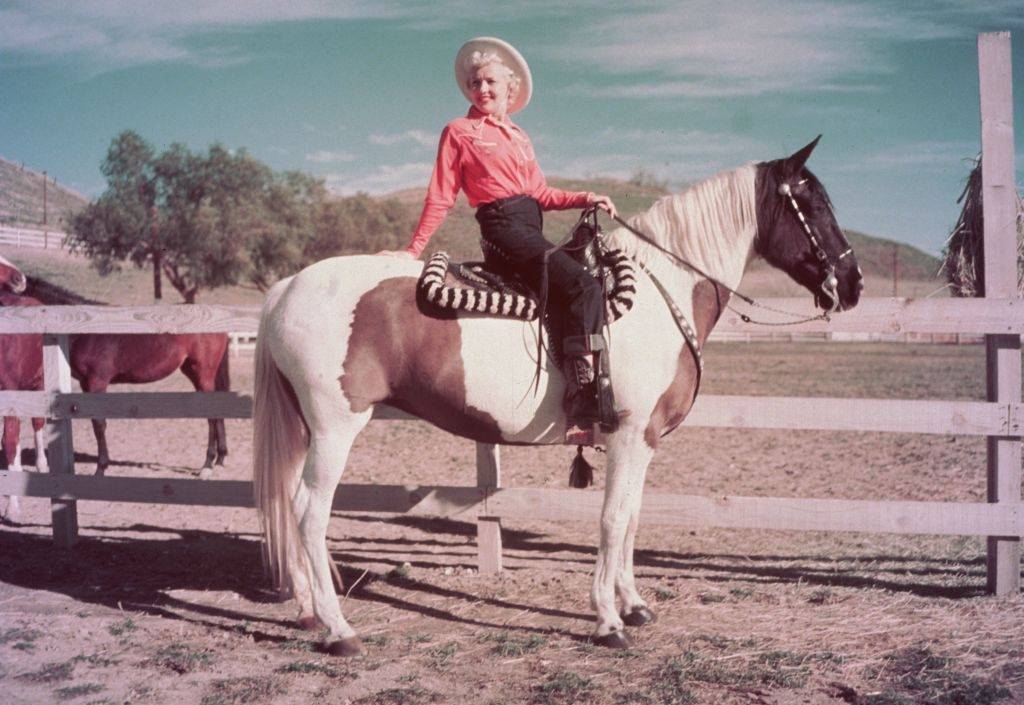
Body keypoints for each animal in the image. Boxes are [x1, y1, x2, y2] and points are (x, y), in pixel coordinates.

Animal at [251, 137, 860, 655]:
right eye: (814, 202)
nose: (852, 285)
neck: (658, 294)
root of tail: (287, 286)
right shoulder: (628, 436)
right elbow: (612, 520)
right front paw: (609, 621)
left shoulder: (645, 441)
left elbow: (632, 517)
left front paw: (634, 605)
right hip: (336, 428)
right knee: (309, 513)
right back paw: (340, 630)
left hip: (307, 429)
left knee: (287, 501)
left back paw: (308, 612)